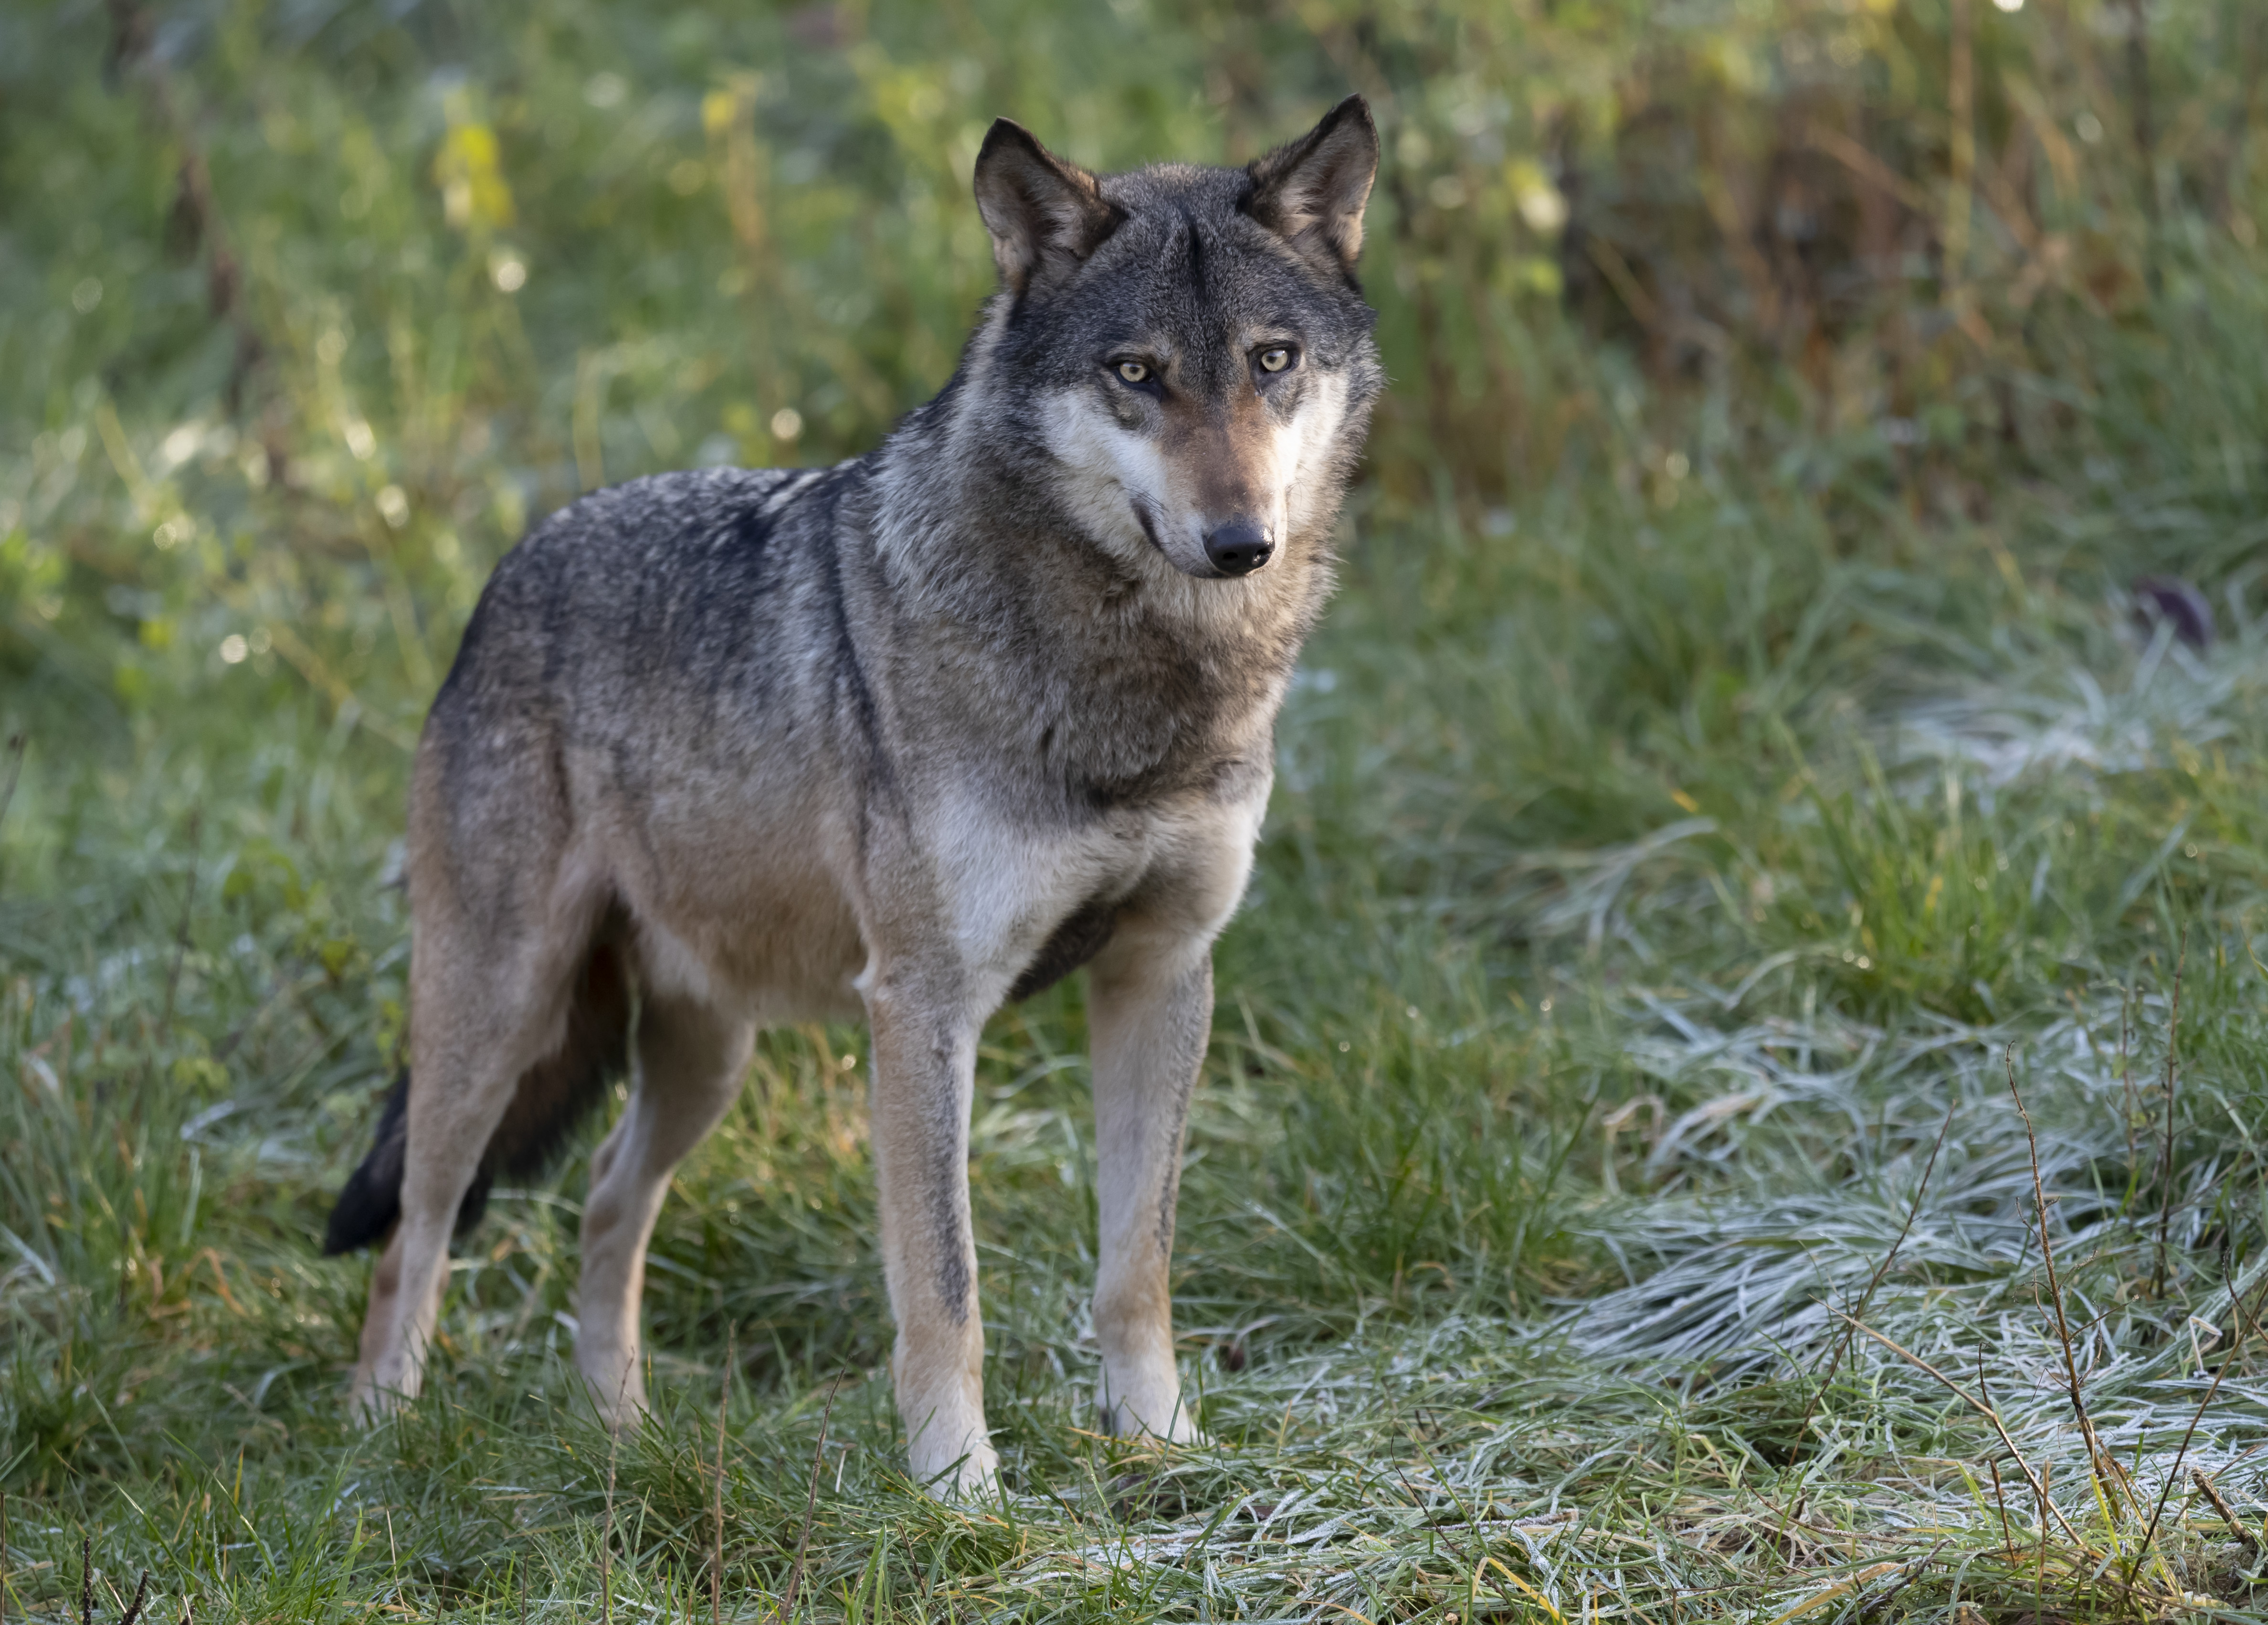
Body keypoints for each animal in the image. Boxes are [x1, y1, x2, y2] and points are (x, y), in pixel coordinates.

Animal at [319, 95, 1379, 1488]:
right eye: (1135, 374)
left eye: (1270, 360)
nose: (1239, 541)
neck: (1133, 686)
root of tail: (506, 571)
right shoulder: (922, 1009)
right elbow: (945, 1290)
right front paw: (959, 1490)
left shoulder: (1160, 973)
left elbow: (1135, 1266)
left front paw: (1159, 1446)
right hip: (496, 1024)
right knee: (417, 1231)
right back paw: (378, 1445)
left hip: (699, 1056)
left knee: (605, 1198)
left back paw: (619, 1433)